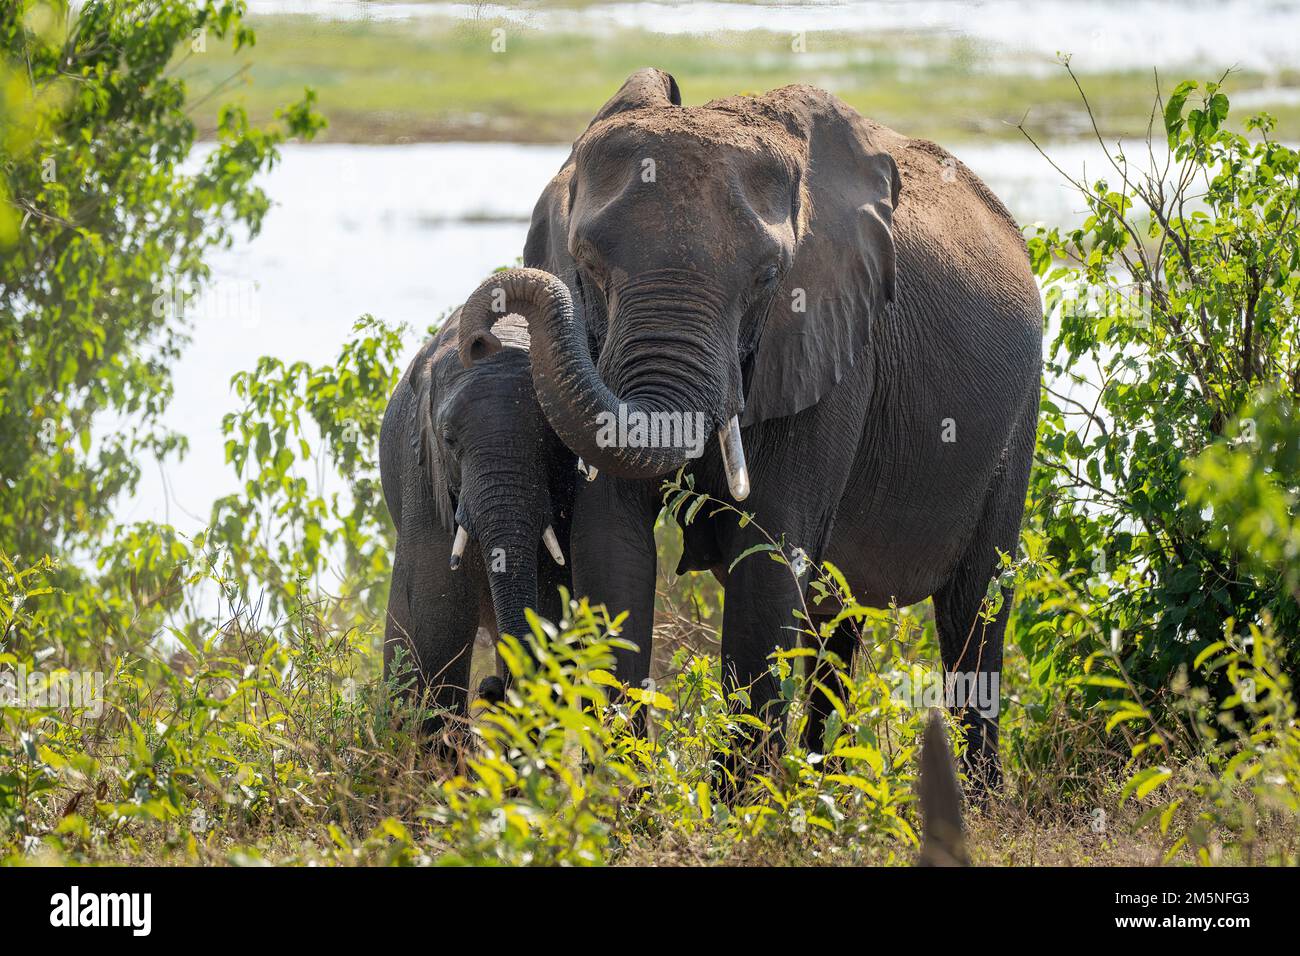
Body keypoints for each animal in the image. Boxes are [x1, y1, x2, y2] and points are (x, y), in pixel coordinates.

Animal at [379, 295, 575, 743]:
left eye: (553, 439)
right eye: (450, 439)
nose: (491, 689)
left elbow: (552, 598)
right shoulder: (423, 472)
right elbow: (437, 614)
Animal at [457, 70, 1042, 790]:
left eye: (767, 278)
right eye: (586, 263)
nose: (483, 329)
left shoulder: (832, 344)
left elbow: (767, 560)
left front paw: (738, 803)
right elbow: (612, 546)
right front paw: (623, 799)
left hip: (1017, 419)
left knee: (974, 613)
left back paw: (977, 798)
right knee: (837, 620)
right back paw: (828, 788)